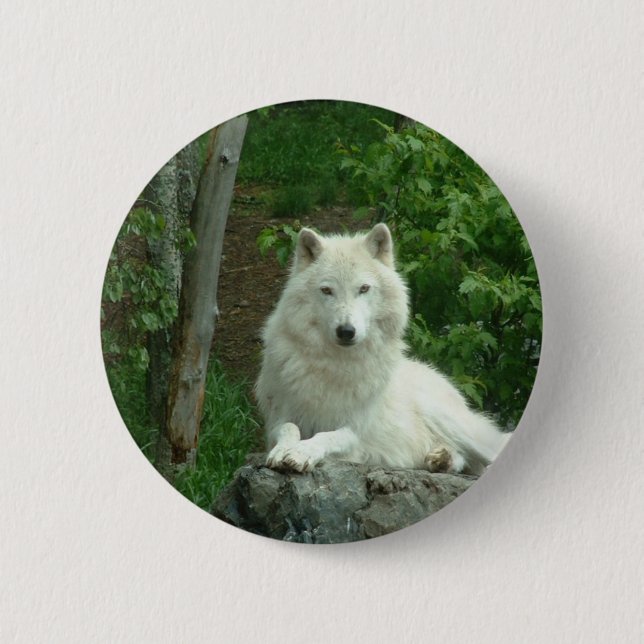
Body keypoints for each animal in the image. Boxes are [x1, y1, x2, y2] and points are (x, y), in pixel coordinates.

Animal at [256, 223, 510, 476]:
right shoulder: (278, 418)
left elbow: (325, 436)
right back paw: (441, 459)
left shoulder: (355, 431)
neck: (337, 365)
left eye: (364, 288)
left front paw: (301, 452)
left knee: (492, 451)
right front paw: (283, 450)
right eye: (327, 290)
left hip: (444, 417)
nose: (346, 331)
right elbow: (289, 428)